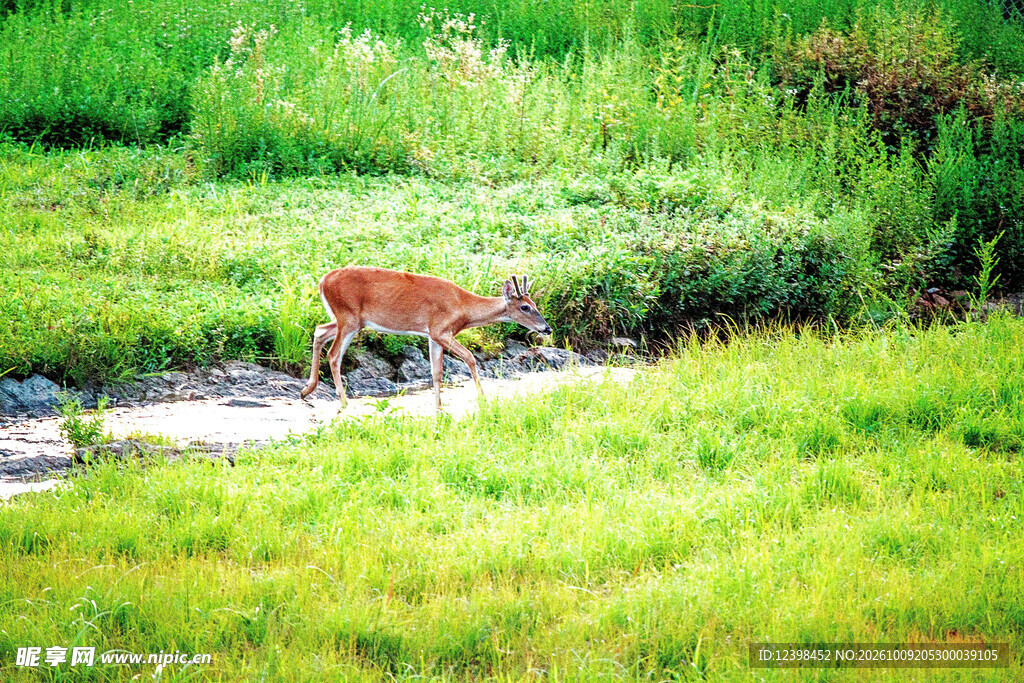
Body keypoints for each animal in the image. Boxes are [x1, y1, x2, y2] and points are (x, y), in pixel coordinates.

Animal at [300, 266, 552, 411]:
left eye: (535, 304)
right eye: (525, 307)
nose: (547, 329)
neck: (463, 308)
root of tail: (322, 282)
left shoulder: (432, 334)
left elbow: (436, 371)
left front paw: (439, 408)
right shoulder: (441, 329)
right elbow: (470, 357)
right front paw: (483, 399)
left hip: (348, 319)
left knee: (319, 331)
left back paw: (307, 390)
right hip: (348, 316)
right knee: (334, 355)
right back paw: (343, 402)